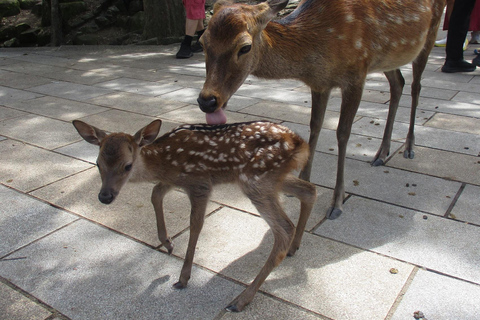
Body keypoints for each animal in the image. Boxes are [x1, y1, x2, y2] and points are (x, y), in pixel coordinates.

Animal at [73, 119, 316, 312]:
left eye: (127, 165)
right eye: (97, 163)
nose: (105, 196)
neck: (163, 161)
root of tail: (301, 143)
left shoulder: (199, 182)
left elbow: (195, 224)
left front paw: (183, 277)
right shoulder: (174, 180)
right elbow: (155, 194)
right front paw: (167, 243)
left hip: (256, 180)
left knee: (284, 227)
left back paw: (240, 300)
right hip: (273, 179)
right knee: (309, 190)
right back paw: (294, 247)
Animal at [197, 0, 444, 219]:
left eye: (245, 47)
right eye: (202, 42)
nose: (207, 101)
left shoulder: (357, 73)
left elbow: (342, 133)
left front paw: (337, 203)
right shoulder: (320, 83)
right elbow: (315, 126)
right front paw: (303, 181)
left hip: (429, 35)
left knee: (415, 86)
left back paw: (409, 147)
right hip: (388, 59)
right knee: (398, 83)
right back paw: (382, 153)